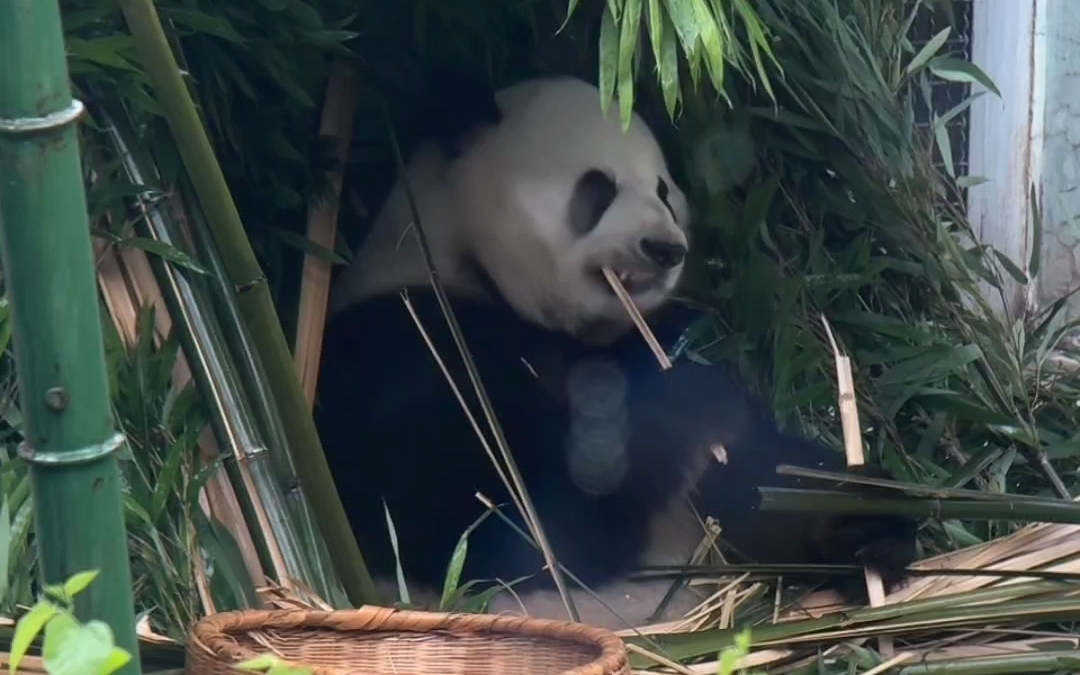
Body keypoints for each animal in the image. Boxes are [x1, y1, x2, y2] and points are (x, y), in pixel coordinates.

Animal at [315, 72, 920, 626]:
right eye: (598, 187)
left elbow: (754, 488)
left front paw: (857, 513)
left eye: (663, 192)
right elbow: (495, 531)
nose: (665, 248)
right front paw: (684, 403)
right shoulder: (407, 348)